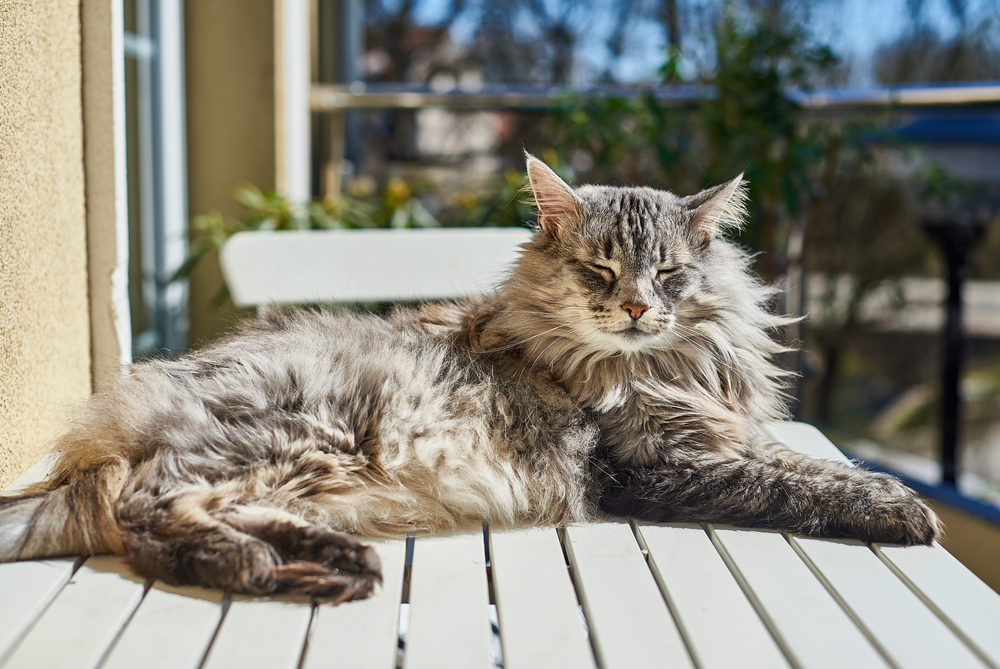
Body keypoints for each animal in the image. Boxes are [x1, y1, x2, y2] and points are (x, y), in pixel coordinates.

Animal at [0, 158, 936, 604]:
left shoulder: (724, 429)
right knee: (147, 514)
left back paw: (331, 563)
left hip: (299, 468)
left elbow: (814, 465)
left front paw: (891, 490)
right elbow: (788, 487)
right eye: (601, 270)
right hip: (296, 432)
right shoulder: (653, 465)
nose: (638, 306)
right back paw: (273, 567)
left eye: (670, 274)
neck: (657, 368)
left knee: (174, 515)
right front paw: (901, 511)